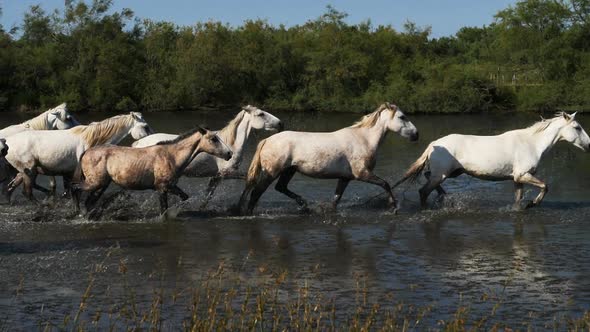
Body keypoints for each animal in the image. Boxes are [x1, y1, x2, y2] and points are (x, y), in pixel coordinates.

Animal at [4, 112, 153, 202]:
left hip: (23, 172)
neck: (93, 139)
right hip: (30, 171)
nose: (153, 141)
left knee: (10, 188)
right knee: (27, 192)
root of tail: (7, 142)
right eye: (145, 126)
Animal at [71, 127, 234, 215]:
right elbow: (164, 210)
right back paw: (78, 212)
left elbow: (184, 197)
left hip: (101, 185)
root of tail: (86, 153)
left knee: (89, 201)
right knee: (75, 188)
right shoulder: (162, 188)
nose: (229, 153)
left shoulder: (171, 186)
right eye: (213, 139)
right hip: (94, 182)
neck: (171, 156)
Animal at [134, 105, 284, 208]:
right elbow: (250, 179)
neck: (231, 143)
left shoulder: (216, 178)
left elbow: (207, 197)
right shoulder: (225, 173)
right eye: (261, 114)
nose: (280, 123)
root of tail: (137, 143)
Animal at [238, 102, 418, 214]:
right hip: (272, 172)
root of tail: (267, 140)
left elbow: (336, 200)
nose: (416, 134)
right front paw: (394, 207)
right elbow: (385, 184)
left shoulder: (345, 178)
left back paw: (305, 205)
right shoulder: (362, 173)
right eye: (402, 117)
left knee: (280, 187)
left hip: (289, 170)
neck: (364, 139)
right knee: (257, 192)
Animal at [394, 113, 590, 209]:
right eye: (577, 127)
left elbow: (518, 199)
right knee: (423, 191)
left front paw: (522, 208)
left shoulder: (517, 179)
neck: (532, 144)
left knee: (428, 179)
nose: (589, 144)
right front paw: (533, 204)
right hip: (442, 174)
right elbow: (545, 186)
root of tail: (434, 144)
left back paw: (443, 196)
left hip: (449, 173)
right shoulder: (523, 175)